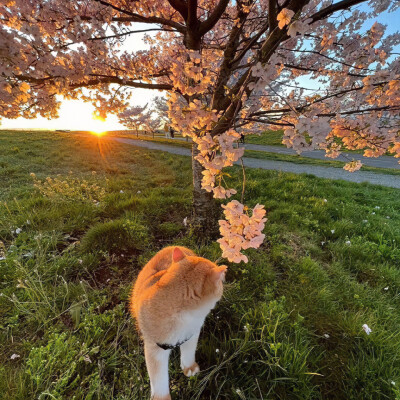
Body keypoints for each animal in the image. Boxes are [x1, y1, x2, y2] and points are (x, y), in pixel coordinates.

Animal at [130, 247, 227, 400]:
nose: (223, 282)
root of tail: (173, 246)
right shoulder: (155, 350)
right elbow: (159, 380)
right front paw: (162, 398)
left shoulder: (191, 334)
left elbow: (188, 353)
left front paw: (189, 368)